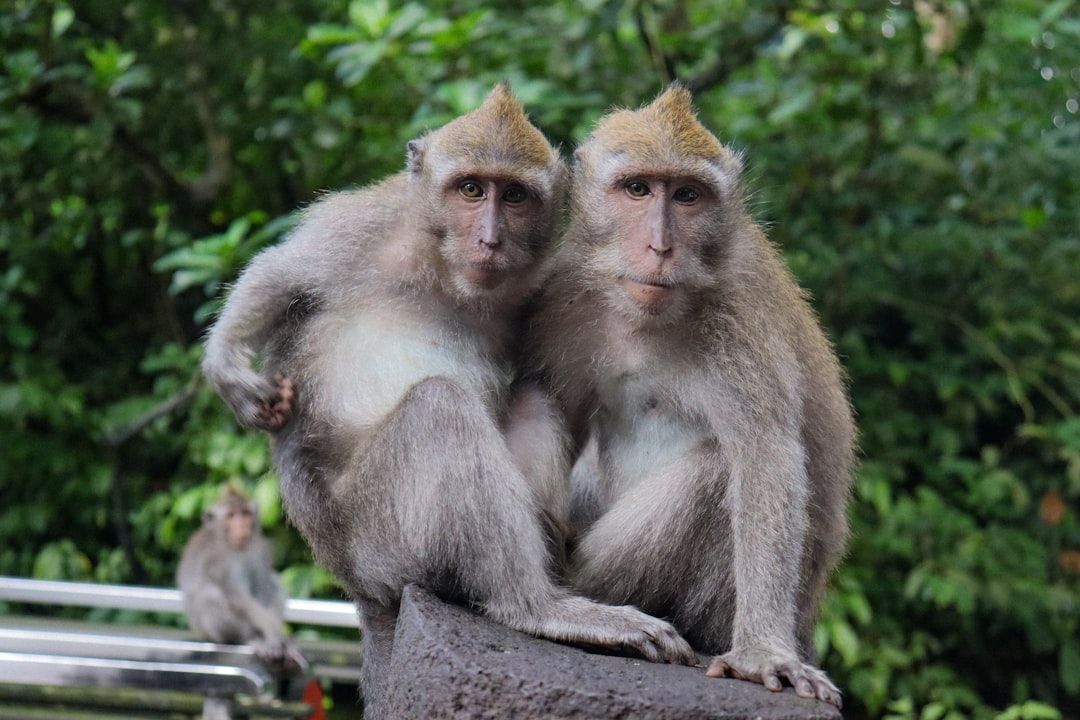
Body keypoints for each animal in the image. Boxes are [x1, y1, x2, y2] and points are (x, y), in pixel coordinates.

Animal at [177, 487, 303, 669]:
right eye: (231, 515)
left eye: (245, 513)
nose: (242, 526)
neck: (234, 545)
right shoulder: (214, 559)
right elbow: (236, 595)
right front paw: (271, 631)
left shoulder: (259, 549)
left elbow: (263, 585)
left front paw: (276, 633)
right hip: (206, 631)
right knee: (209, 596)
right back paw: (248, 638)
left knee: (275, 583)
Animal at [201, 84, 696, 714]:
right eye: (470, 189)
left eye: (514, 195)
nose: (490, 238)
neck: (440, 267)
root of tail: (357, 585)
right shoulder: (363, 223)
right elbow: (279, 275)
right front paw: (227, 368)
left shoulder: (540, 290)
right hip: (380, 537)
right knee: (439, 408)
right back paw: (535, 605)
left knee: (531, 398)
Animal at [524, 85, 855, 708]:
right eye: (637, 189)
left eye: (687, 195)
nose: (660, 246)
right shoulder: (563, 303)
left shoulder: (739, 321)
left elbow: (765, 457)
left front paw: (761, 651)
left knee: (716, 470)